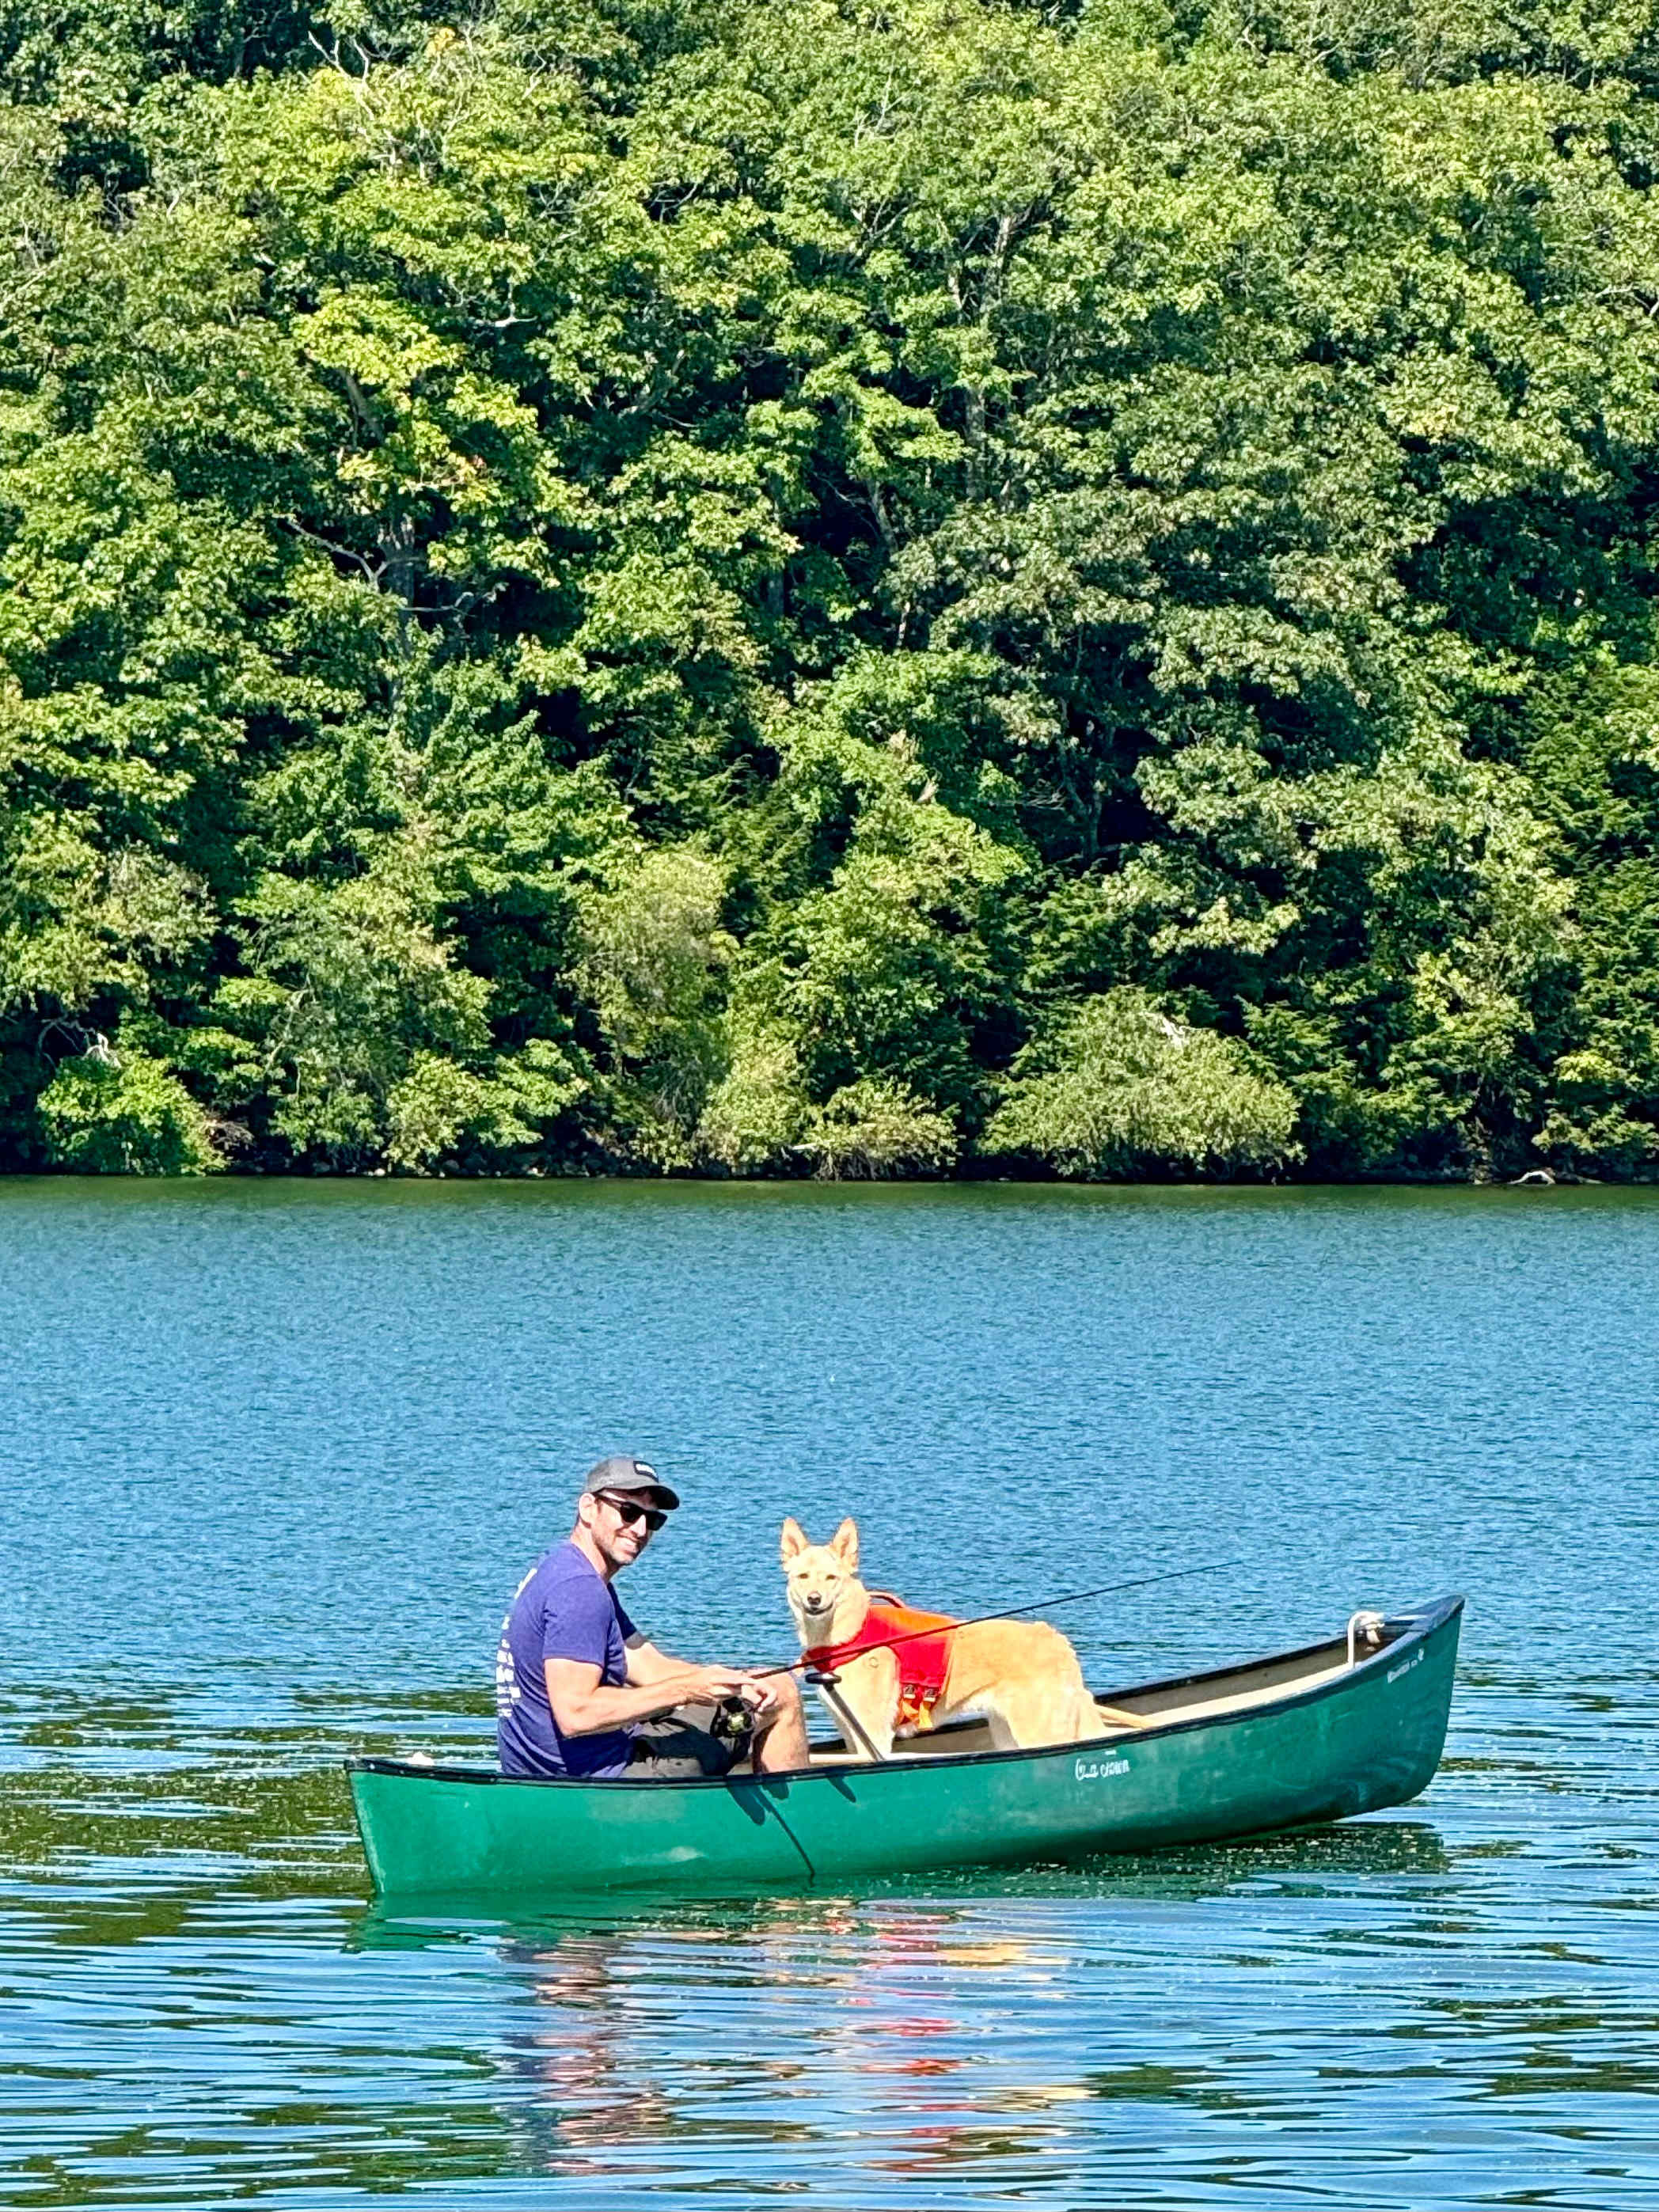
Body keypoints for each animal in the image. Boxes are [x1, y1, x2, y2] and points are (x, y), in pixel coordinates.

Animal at [783, 1512, 1119, 1751]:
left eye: (831, 1578)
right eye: (803, 1576)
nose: (814, 1600)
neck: (850, 1636)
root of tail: (1054, 1638)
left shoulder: (874, 1735)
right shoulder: (853, 1736)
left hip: (1041, 1734)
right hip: (1007, 1734)